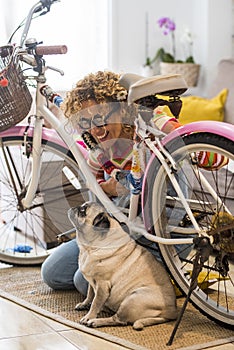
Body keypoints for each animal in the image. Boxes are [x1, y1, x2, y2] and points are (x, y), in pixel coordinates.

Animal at [68, 201, 176, 330]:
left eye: (83, 211)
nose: (73, 207)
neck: (88, 249)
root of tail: (171, 312)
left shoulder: (102, 285)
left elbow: (95, 302)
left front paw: (89, 317)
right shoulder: (92, 282)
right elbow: (90, 294)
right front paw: (85, 304)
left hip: (132, 299)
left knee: (118, 320)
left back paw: (96, 321)